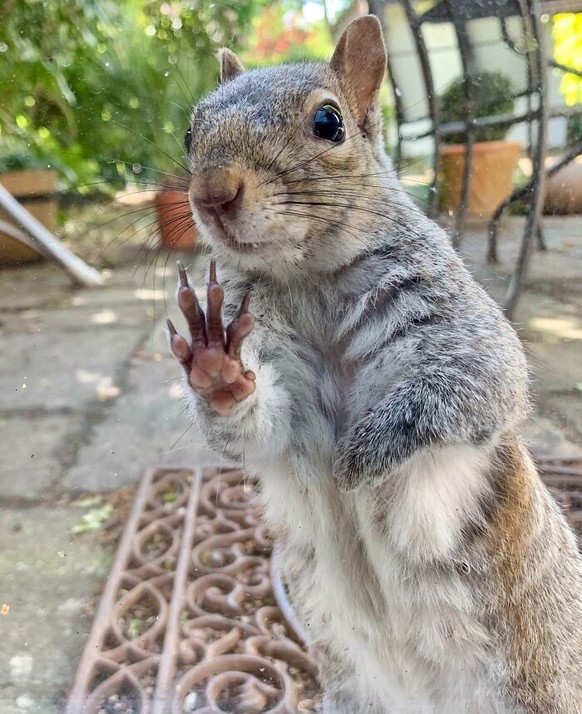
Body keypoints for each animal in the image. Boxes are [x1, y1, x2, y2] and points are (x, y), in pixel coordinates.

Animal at [167, 15, 582, 714]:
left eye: (328, 122)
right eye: (192, 130)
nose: (212, 193)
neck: (307, 279)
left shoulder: (459, 330)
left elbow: (477, 383)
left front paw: (359, 457)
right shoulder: (283, 401)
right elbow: (253, 428)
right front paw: (219, 366)